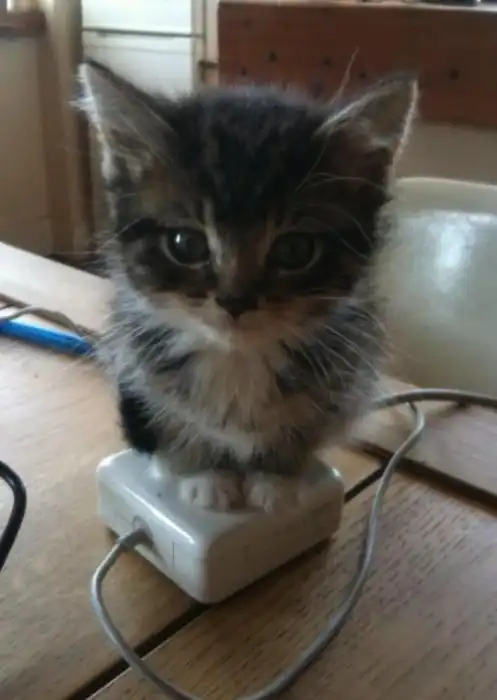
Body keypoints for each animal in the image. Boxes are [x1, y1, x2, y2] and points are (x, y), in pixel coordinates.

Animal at [78, 61, 417, 512]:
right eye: (185, 244)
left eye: (295, 249)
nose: (234, 301)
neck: (238, 360)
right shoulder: (136, 357)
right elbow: (171, 416)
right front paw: (203, 473)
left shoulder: (346, 368)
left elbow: (303, 426)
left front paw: (275, 477)